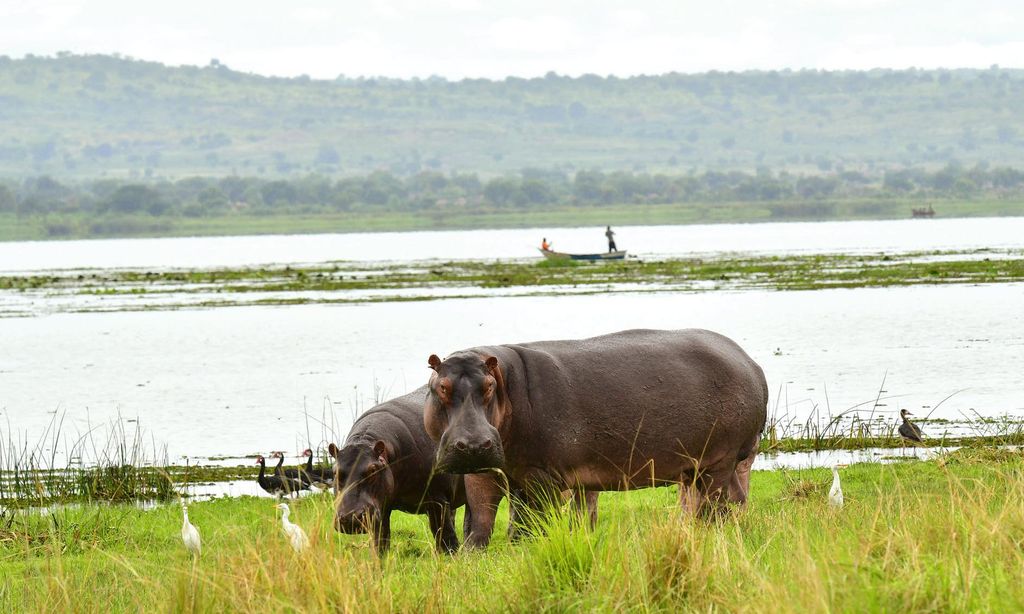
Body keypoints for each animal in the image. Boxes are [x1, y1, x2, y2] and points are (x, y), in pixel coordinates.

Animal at [423, 329, 770, 523]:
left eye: (489, 387)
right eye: (440, 387)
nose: (473, 443)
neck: (507, 381)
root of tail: (750, 362)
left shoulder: (542, 477)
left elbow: (536, 525)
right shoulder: (484, 471)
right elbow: (479, 527)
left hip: (718, 461)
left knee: (714, 508)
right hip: (710, 465)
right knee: (737, 500)